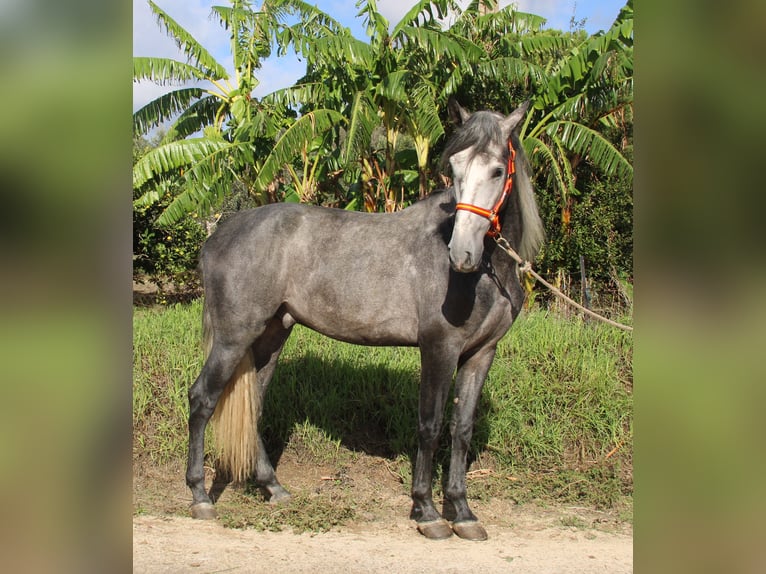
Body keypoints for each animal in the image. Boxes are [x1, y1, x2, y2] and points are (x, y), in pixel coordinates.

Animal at [186, 97, 544, 544]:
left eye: (497, 170)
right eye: (455, 168)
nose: (461, 253)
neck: (486, 273)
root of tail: (218, 234)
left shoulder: (481, 353)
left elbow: (461, 430)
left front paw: (462, 512)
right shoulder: (439, 348)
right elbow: (430, 426)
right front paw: (427, 512)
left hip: (270, 336)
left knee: (254, 406)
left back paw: (273, 488)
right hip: (234, 338)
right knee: (202, 399)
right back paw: (200, 496)